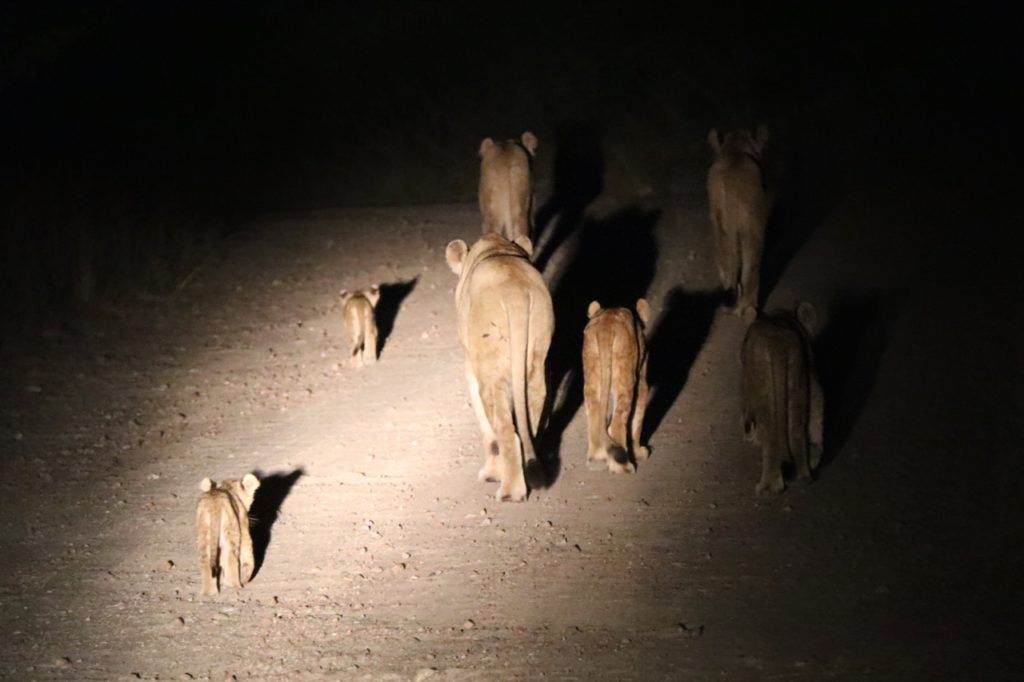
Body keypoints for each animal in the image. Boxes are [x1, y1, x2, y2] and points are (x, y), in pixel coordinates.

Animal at [440, 233, 552, 499]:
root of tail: (515, 292)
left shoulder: (471, 367)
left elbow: (487, 431)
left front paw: (491, 474)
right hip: (535, 358)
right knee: (532, 414)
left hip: (490, 372)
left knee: (506, 430)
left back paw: (510, 491)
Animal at [581, 296, 651, 473]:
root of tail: (607, 327)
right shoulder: (642, 380)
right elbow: (637, 419)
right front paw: (638, 452)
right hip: (625, 377)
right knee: (618, 421)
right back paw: (623, 467)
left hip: (592, 372)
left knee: (594, 411)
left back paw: (596, 459)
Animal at [708, 124, 770, 315]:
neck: (734, 152)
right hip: (753, 226)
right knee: (752, 264)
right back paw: (749, 311)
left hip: (719, 225)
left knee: (725, 258)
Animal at [737, 301, 823, 491]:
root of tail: (780, 344)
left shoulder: (746, 381)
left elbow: (745, 409)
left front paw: (748, 436)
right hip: (798, 386)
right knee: (798, 432)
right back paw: (804, 476)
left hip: (765, 391)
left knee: (769, 435)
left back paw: (768, 486)